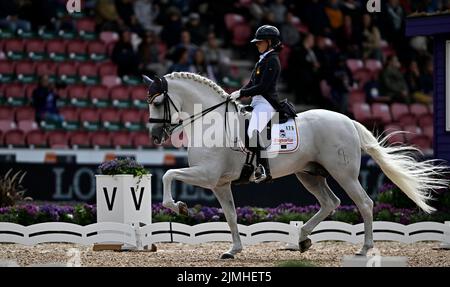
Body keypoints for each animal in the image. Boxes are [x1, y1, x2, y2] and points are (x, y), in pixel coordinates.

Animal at [146, 71, 448, 258]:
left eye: (158, 101)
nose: (154, 136)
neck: (211, 122)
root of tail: (348, 120)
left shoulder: (207, 176)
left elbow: (169, 174)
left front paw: (179, 207)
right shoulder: (219, 184)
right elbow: (231, 216)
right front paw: (233, 250)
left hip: (344, 173)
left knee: (364, 203)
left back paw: (365, 249)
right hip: (310, 174)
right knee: (330, 203)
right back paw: (301, 240)